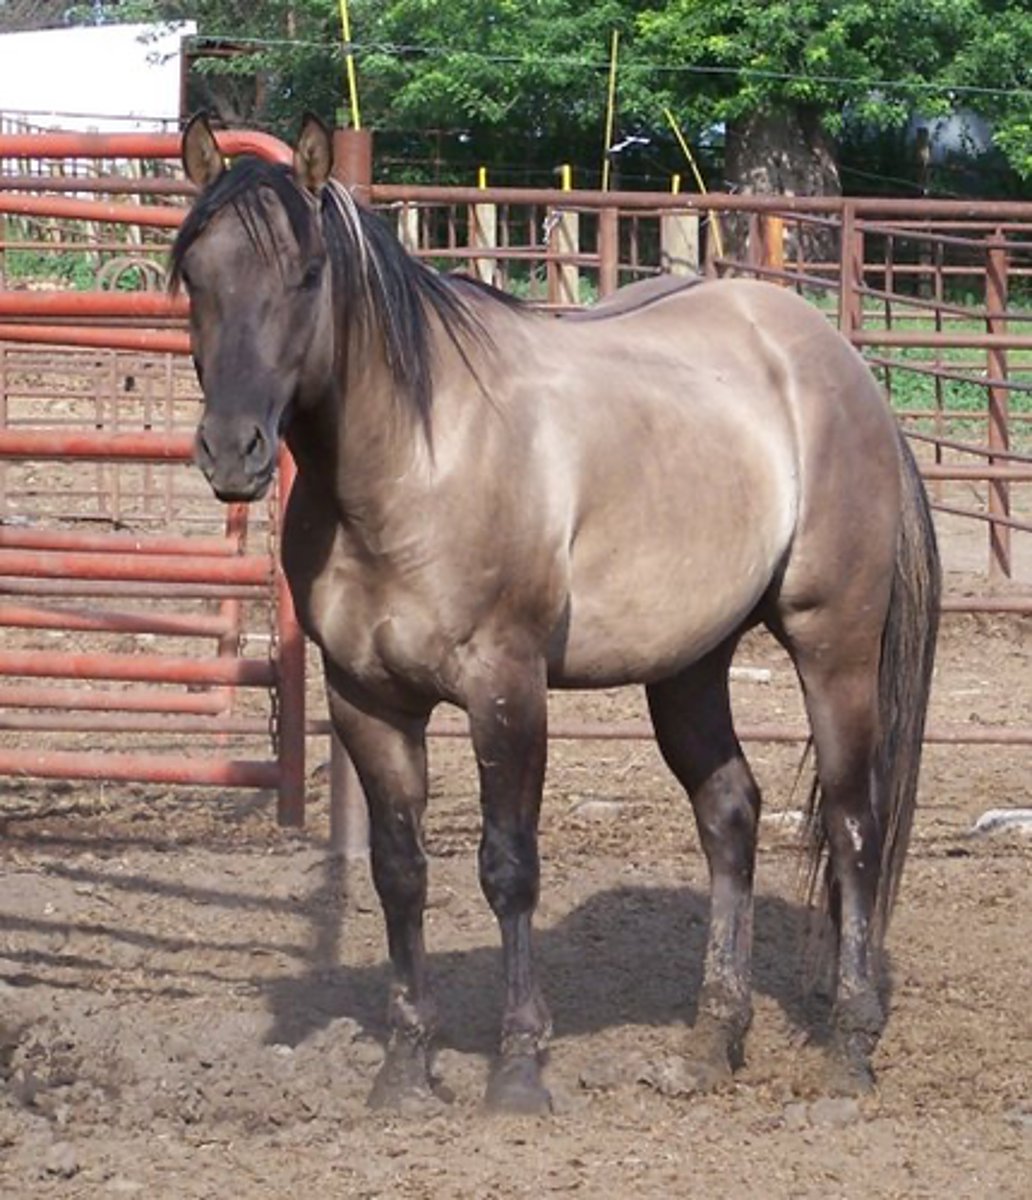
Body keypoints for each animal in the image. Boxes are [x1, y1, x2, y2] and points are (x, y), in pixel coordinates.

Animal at [173, 113, 940, 1114]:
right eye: (194, 271)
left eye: (307, 273)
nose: (233, 451)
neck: (411, 463)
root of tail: (846, 368)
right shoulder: (365, 699)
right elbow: (398, 873)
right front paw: (405, 1069)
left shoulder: (507, 686)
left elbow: (508, 867)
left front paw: (518, 1069)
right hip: (689, 664)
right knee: (730, 815)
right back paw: (710, 1042)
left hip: (832, 642)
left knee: (853, 824)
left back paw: (848, 1049)